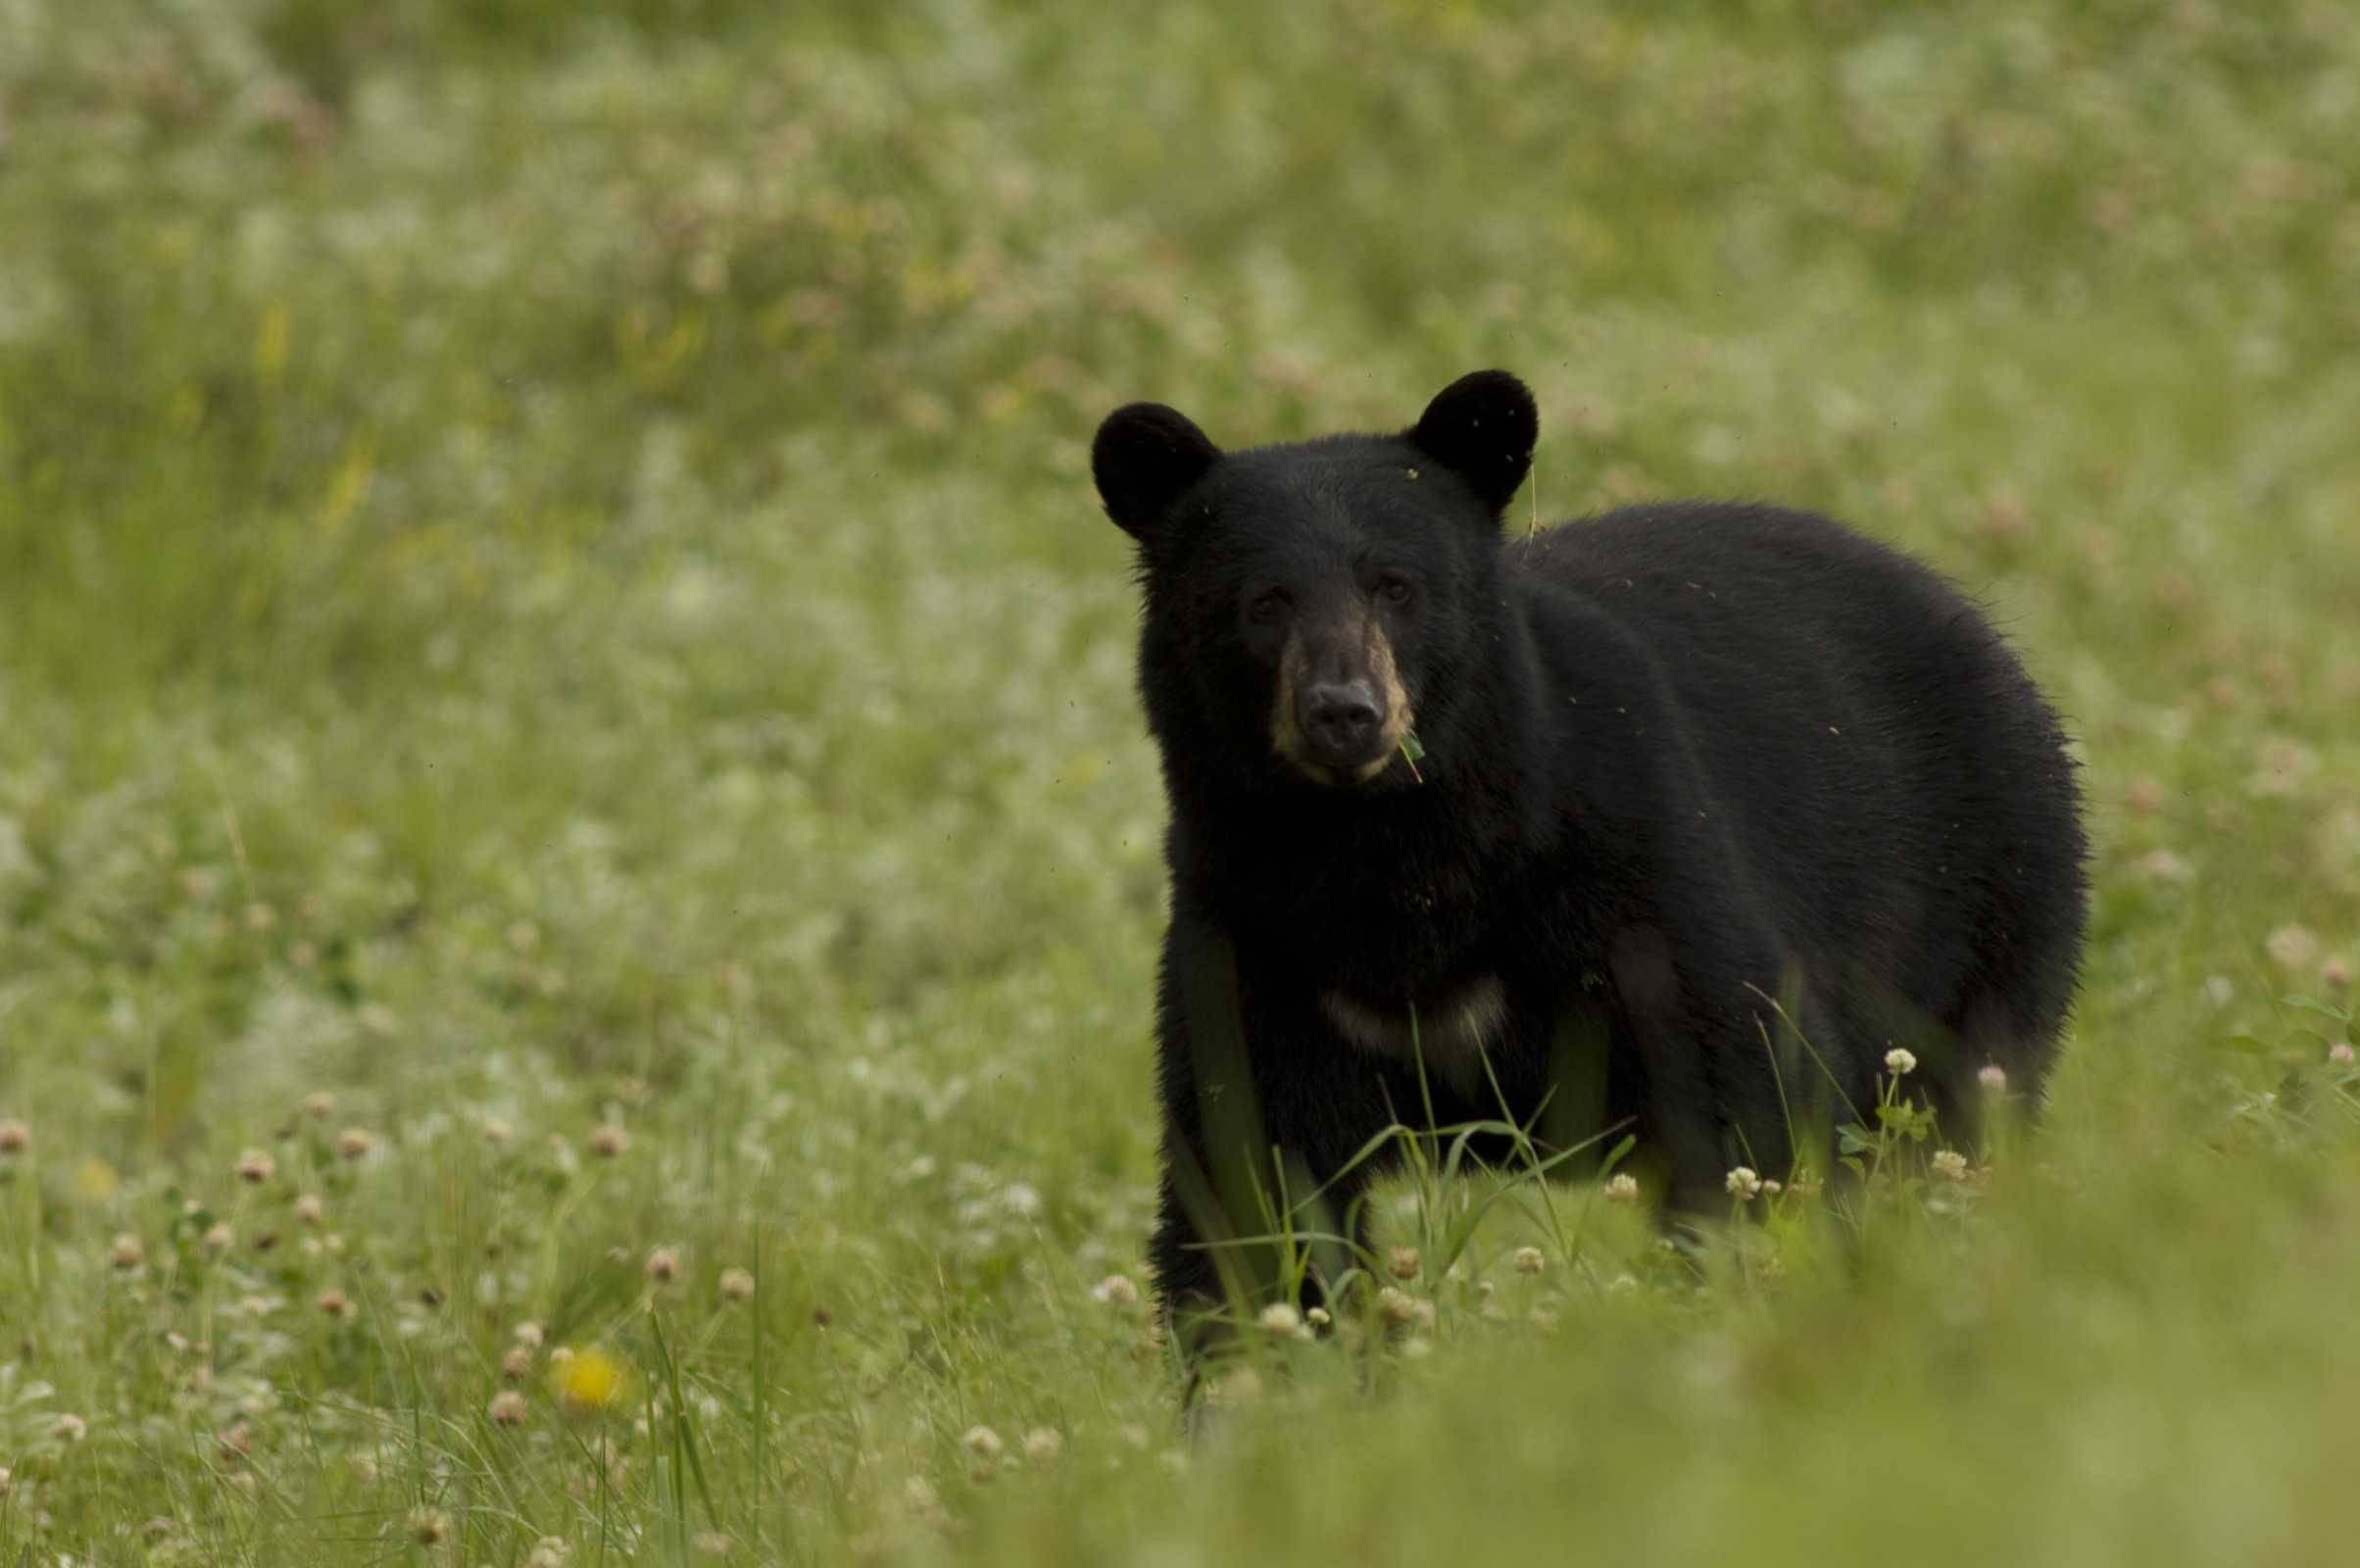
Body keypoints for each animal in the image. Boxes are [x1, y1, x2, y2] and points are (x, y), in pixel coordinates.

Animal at [1091, 370, 2087, 1342]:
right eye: (1263, 602)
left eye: (1396, 586)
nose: (1344, 712)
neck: (1392, 858)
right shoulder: (1255, 934)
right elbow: (1255, 1181)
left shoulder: (1629, 872)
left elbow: (1746, 1101)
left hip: (1981, 902)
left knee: (1955, 1112)